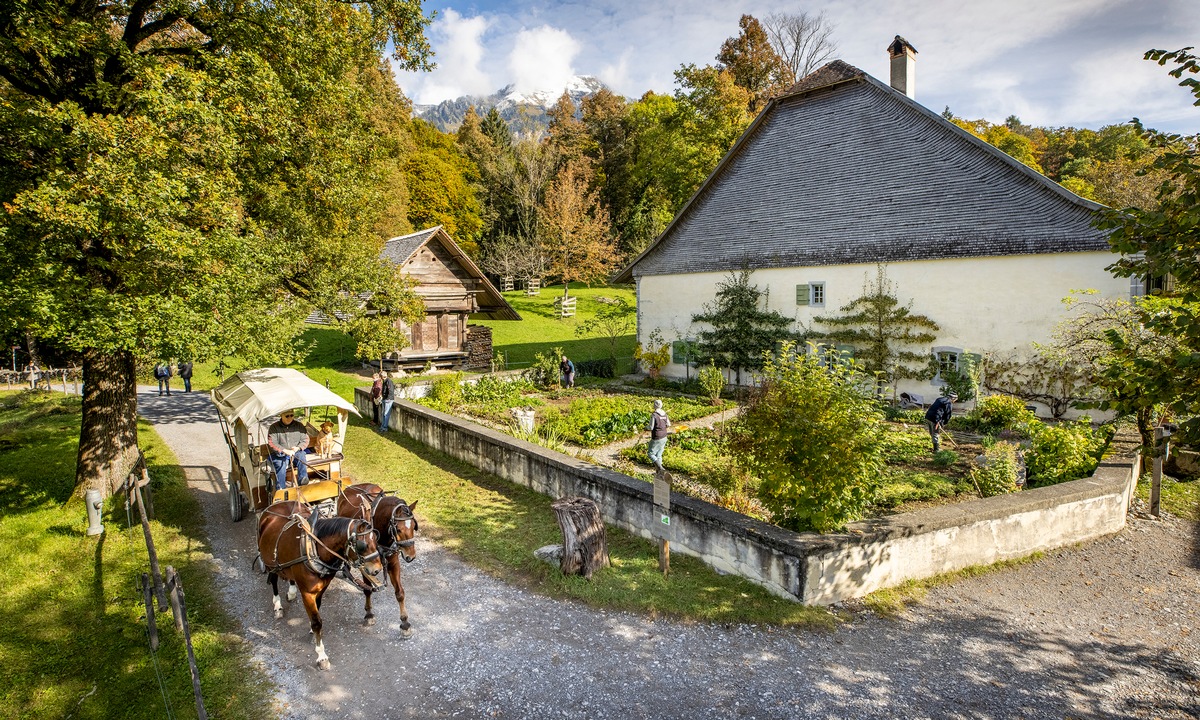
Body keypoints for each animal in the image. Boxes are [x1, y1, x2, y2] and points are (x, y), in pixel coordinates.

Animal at [258, 501, 384, 667]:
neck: (313, 547)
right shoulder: (307, 592)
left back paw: (291, 591)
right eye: (363, 545)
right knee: (273, 579)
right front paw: (321, 655)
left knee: (289, 576)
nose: (377, 569)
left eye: (376, 539)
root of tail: (275, 505)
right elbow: (317, 622)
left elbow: (317, 610)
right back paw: (277, 605)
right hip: (270, 563)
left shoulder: (322, 587)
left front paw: (312, 630)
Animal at [338, 484, 422, 633]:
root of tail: (350, 487)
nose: (411, 556)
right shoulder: (366, 565)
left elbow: (400, 592)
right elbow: (367, 590)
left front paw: (405, 623)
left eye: (414, 526)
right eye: (398, 529)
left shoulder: (393, 563)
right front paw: (369, 614)